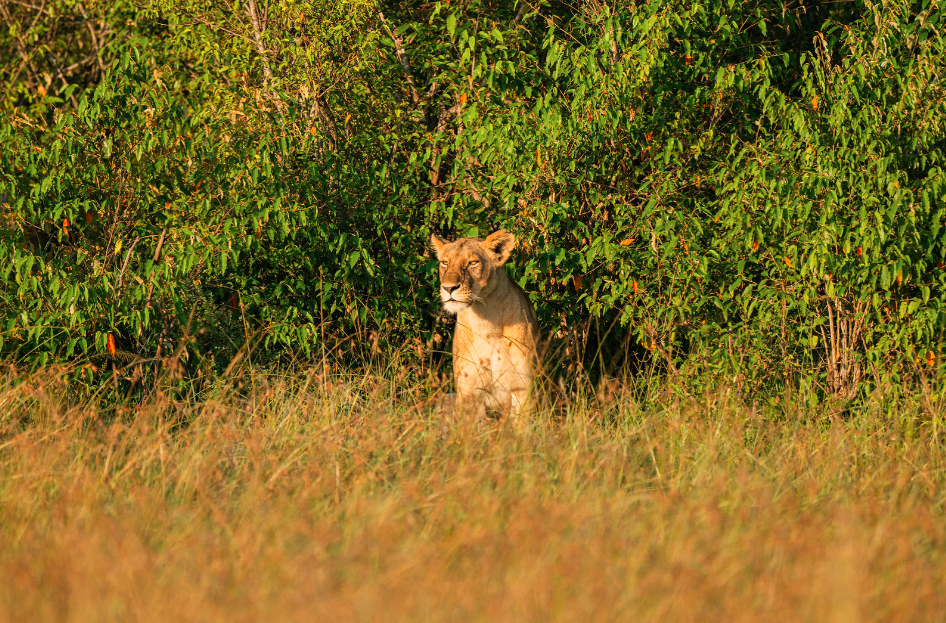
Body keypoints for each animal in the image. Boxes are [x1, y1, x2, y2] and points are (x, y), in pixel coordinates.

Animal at [430, 229, 539, 425]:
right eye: (444, 263)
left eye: (472, 263)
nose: (448, 288)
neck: (486, 320)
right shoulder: (467, 390)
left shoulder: (522, 388)